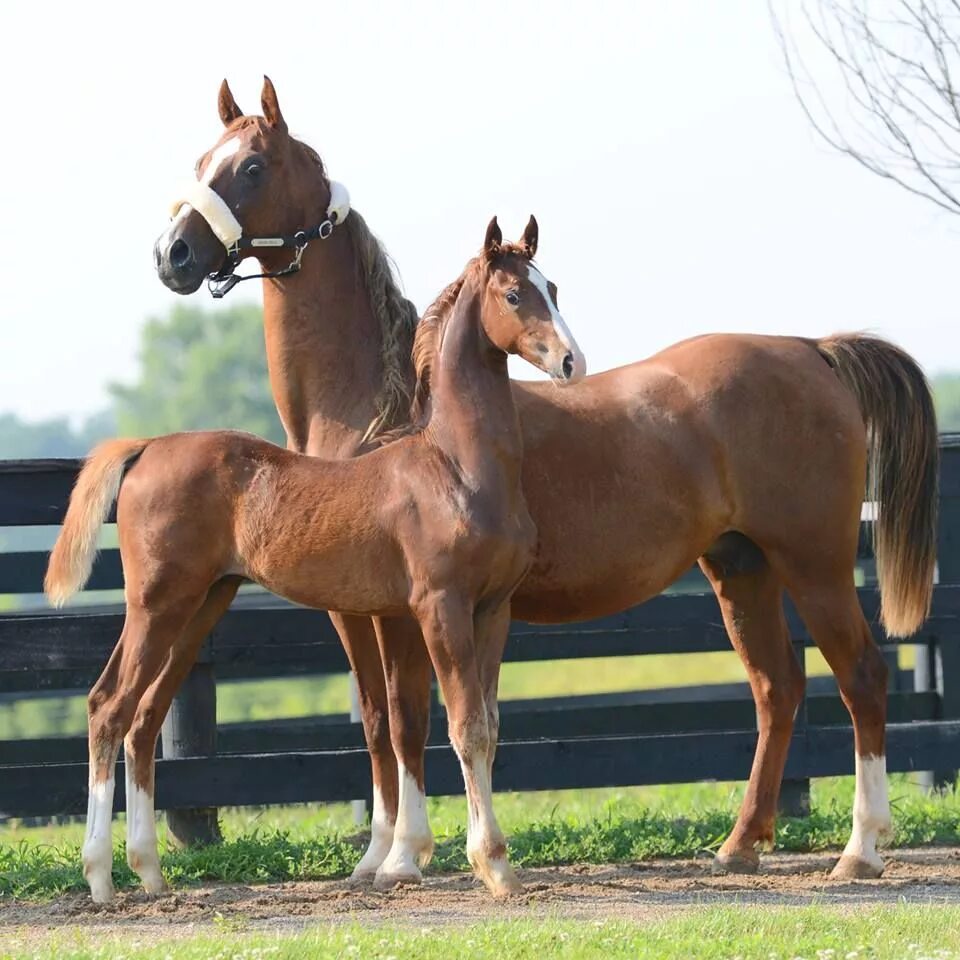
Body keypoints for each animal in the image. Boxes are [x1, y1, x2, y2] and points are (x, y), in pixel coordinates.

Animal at [48, 216, 584, 900]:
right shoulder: (439, 608)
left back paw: (149, 872)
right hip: (156, 603)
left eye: (555, 288)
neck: (458, 466)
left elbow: (487, 727)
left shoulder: (493, 610)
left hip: (200, 606)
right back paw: (99, 877)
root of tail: (147, 447)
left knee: (143, 717)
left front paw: (495, 865)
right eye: (515, 296)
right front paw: (488, 863)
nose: (571, 361)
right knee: (107, 708)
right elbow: (461, 726)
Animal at [152, 79, 936, 888]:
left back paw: (861, 848)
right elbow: (375, 721)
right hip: (740, 566)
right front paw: (379, 854)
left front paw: (408, 854)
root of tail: (814, 350)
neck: (383, 405)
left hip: (814, 563)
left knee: (862, 677)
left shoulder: (403, 612)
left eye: (250, 167)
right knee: (778, 690)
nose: (172, 254)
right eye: (203, 160)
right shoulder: (360, 610)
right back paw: (740, 843)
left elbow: (406, 718)